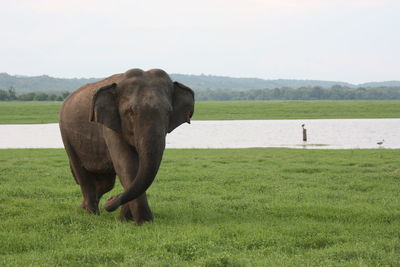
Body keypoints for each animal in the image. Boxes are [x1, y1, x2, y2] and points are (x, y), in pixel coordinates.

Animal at [59, 68, 195, 225]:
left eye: (169, 112)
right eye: (130, 111)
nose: (111, 200)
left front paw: (125, 219)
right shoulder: (110, 124)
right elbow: (127, 165)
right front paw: (143, 222)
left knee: (106, 183)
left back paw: (81, 209)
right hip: (66, 135)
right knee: (83, 175)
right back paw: (92, 214)